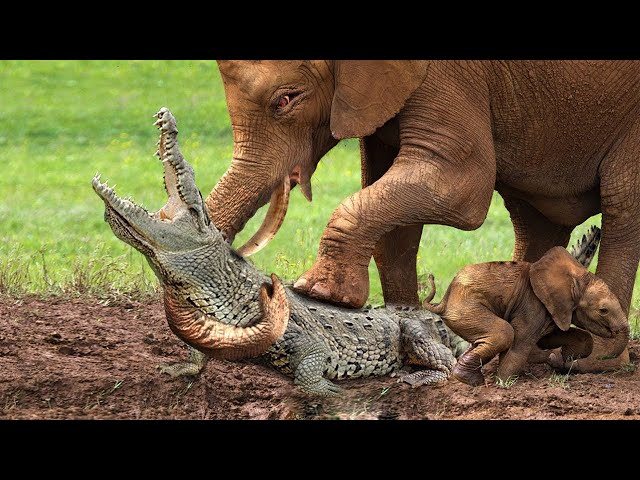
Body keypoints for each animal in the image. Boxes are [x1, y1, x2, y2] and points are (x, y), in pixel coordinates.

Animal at [206, 61, 640, 372]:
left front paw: (321, 293)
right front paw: (401, 314)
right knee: (534, 220)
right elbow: (391, 206)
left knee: (622, 204)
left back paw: (595, 362)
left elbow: (458, 186)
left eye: (286, 99)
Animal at [422, 248, 628, 386]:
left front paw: (564, 357)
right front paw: (503, 384)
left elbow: (553, 337)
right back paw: (472, 381)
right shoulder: (531, 304)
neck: (575, 278)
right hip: (466, 307)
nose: (566, 365)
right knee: (504, 333)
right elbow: (520, 344)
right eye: (603, 310)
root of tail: (444, 299)